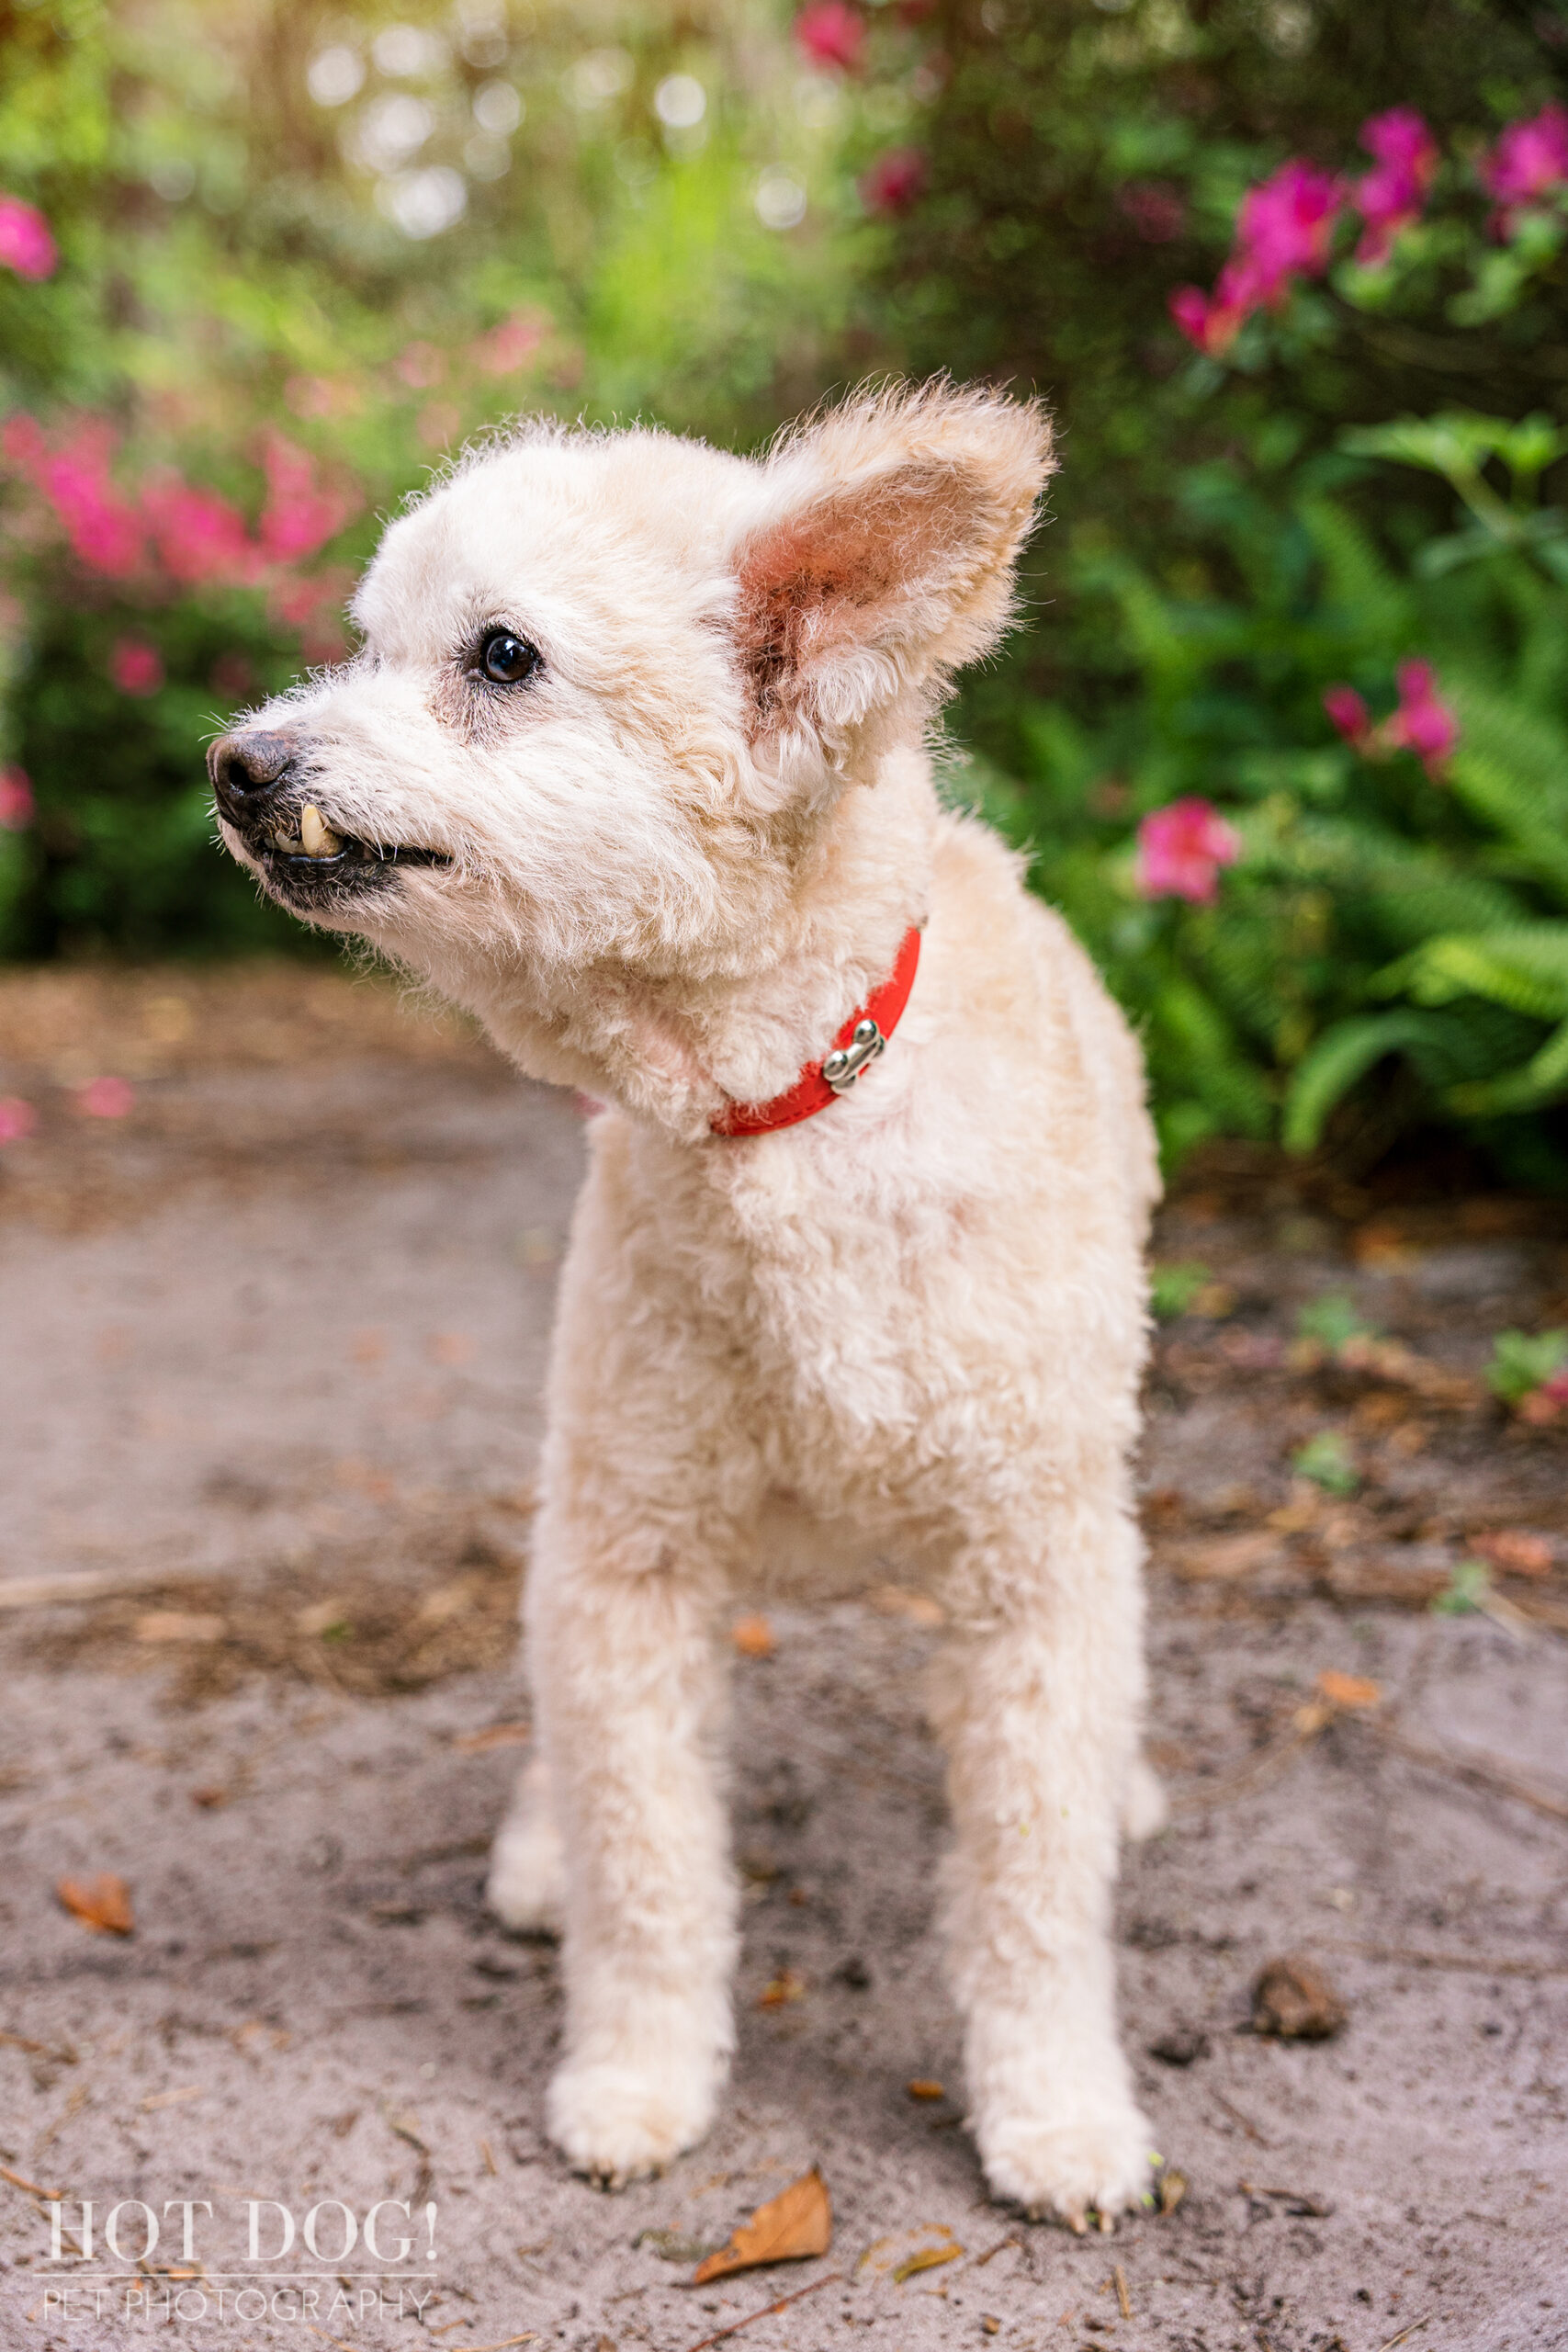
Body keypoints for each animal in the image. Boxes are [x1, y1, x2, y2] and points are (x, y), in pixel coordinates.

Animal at [208, 380, 1166, 2220]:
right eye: (363, 645)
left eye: (501, 656)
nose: (240, 763)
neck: (790, 1114)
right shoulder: (626, 1557)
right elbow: (647, 1861)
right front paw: (639, 2078)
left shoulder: (1032, 1565)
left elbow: (1033, 1885)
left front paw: (1057, 2108)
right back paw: (538, 1844)